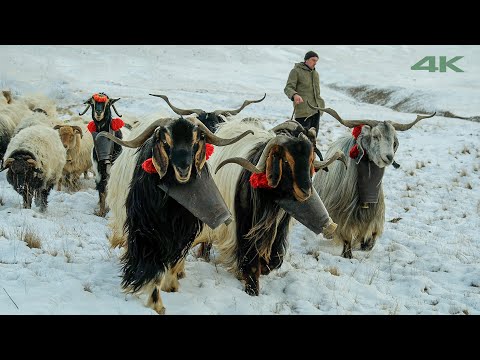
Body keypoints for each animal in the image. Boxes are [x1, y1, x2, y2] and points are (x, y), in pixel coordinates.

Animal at [189, 119, 344, 296]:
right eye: (286, 161)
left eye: (311, 159)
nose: (306, 191)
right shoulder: (245, 227)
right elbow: (250, 260)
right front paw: (252, 290)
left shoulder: (280, 227)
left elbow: (274, 259)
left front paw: (262, 270)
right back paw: (204, 256)